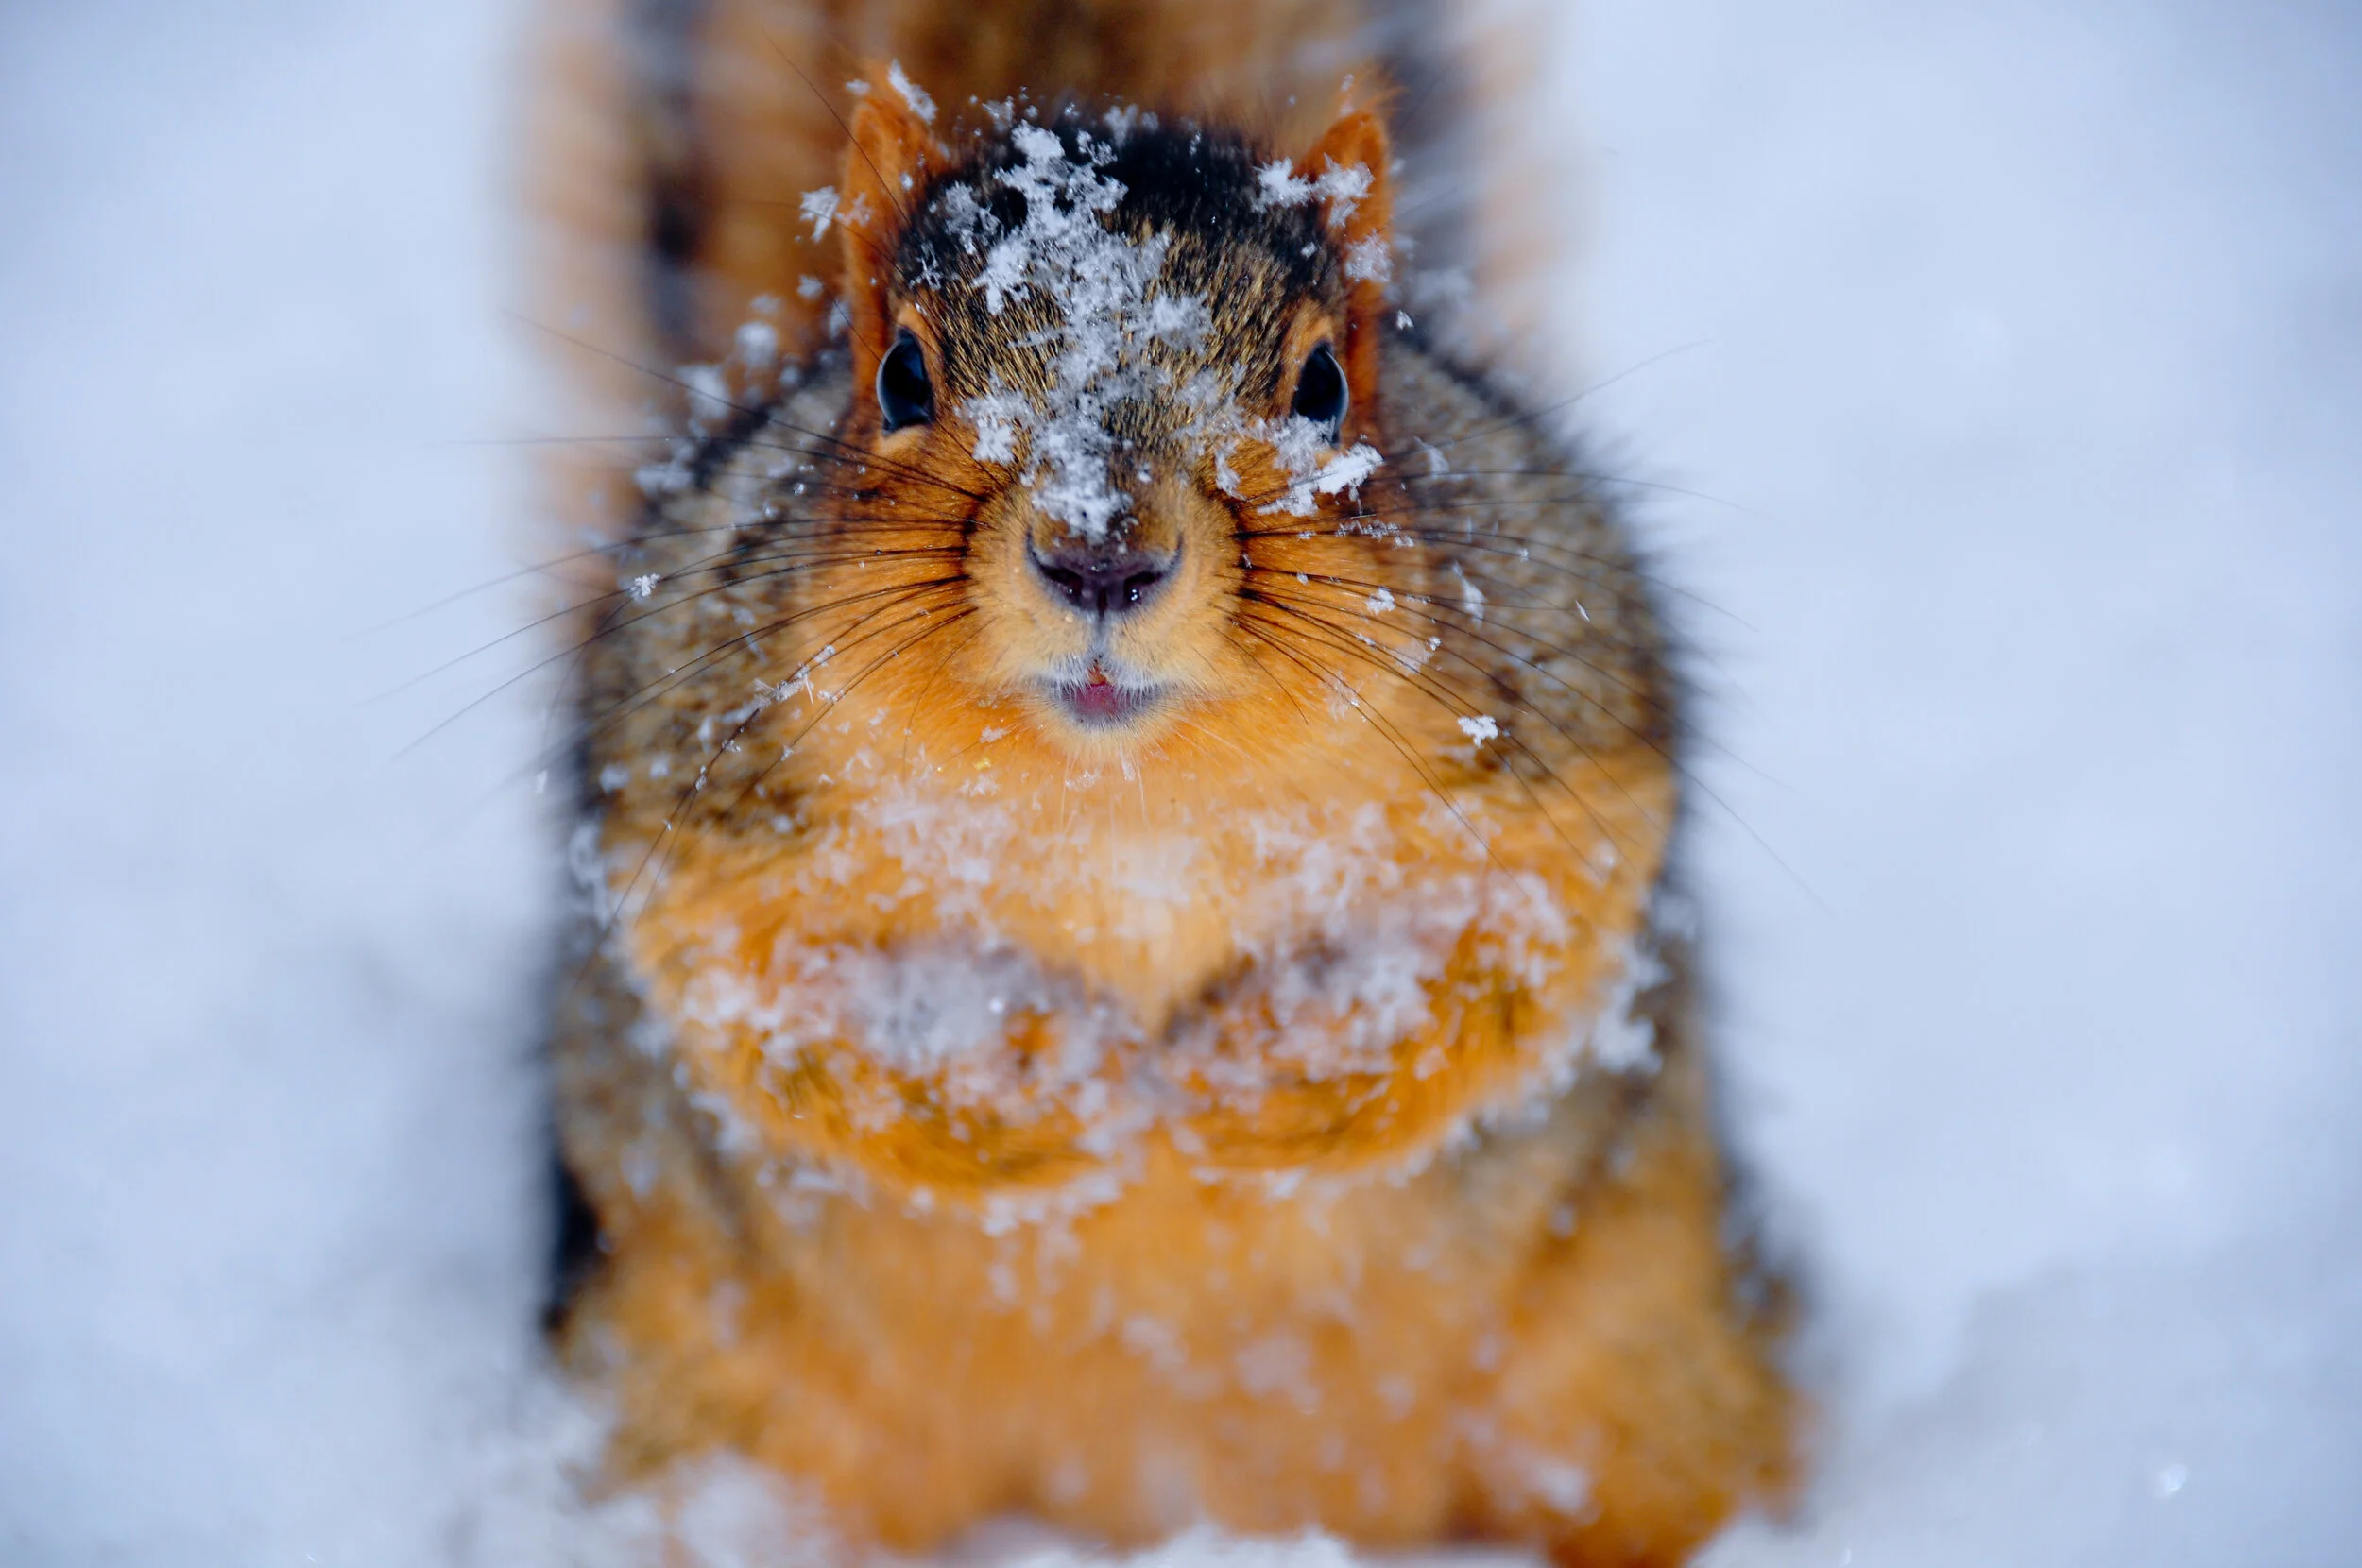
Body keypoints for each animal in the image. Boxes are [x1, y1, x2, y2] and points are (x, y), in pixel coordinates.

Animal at [529, 1, 1797, 1563]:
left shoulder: (1572, 724)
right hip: (695, 1410)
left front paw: (1260, 1075)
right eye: (900, 374)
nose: (1099, 556)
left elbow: (1523, 943)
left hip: (1639, 1375)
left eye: (1323, 388)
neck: (1128, 810)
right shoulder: (683, 781)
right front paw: (1041, 1084)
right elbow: (755, 1001)